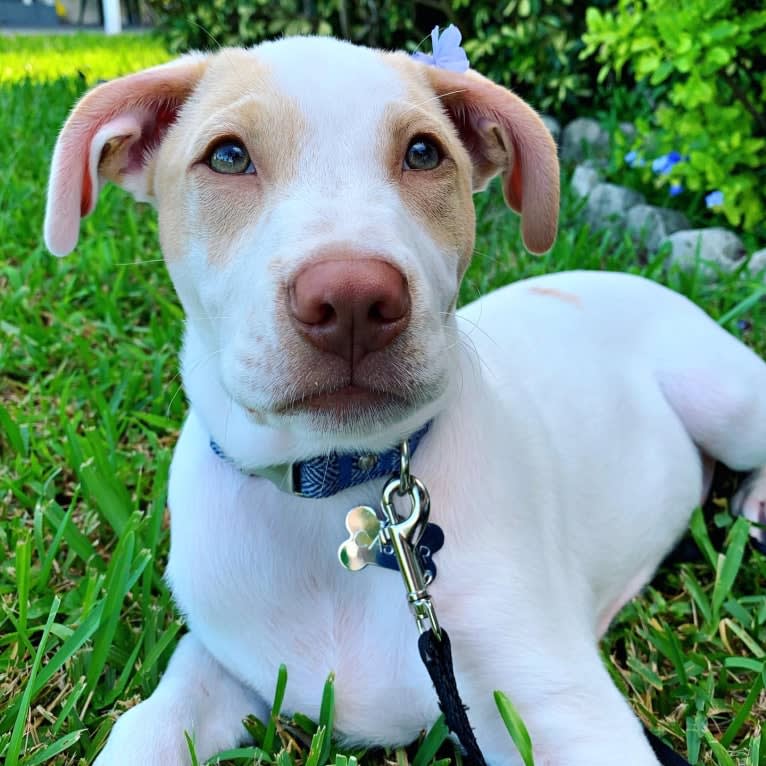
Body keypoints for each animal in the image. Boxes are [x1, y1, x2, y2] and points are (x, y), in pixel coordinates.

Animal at [43, 36, 766, 766]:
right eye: (227, 156)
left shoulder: (564, 712)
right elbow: (150, 724)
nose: (352, 300)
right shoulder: (224, 661)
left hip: (725, 399)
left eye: (423, 152)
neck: (338, 494)